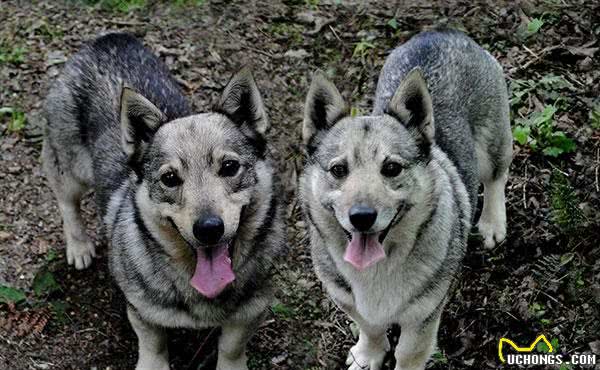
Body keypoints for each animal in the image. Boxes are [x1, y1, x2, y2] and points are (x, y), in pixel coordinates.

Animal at [43, 32, 284, 370]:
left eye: (229, 167)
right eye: (170, 178)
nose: (208, 228)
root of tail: (108, 39)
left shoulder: (250, 312)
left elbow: (232, 347)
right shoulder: (143, 312)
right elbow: (153, 345)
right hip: (69, 168)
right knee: (67, 203)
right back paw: (79, 246)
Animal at [300, 29, 510, 370]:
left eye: (392, 168)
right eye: (338, 170)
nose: (361, 217)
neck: (377, 268)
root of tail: (443, 31)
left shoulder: (423, 315)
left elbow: (409, 352)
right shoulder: (348, 300)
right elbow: (369, 327)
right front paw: (368, 355)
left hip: (493, 142)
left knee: (496, 177)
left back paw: (492, 222)